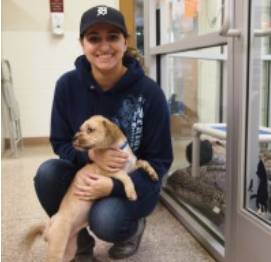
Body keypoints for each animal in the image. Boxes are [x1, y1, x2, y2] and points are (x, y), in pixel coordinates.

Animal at [22, 116, 159, 262]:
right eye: (81, 129)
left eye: (90, 129)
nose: (73, 138)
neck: (118, 150)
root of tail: (49, 225)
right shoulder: (107, 170)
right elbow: (124, 175)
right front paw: (131, 192)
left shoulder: (133, 167)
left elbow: (144, 161)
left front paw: (153, 173)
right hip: (57, 247)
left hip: (69, 249)